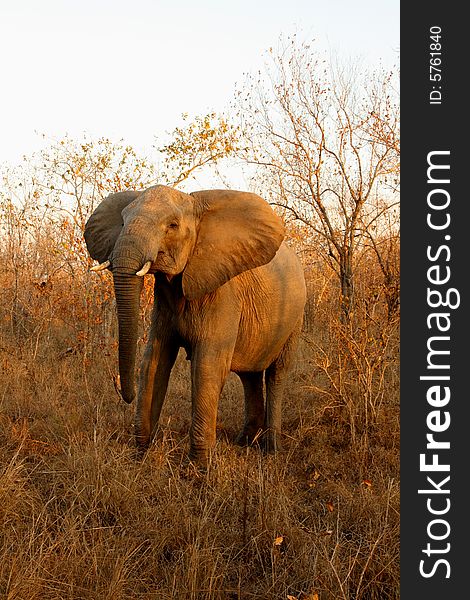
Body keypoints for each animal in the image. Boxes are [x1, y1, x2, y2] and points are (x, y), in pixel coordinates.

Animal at [84, 183, 306, 464]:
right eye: (122, 222)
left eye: (172, 225)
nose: (126, 395)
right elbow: (154, 360)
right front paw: (140, 457)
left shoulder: (223, 294)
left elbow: (207, 367)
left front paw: (199, 466)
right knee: (250, 376)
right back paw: (244, 443)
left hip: (295, 318)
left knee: (277, 374)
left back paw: (271, 451)